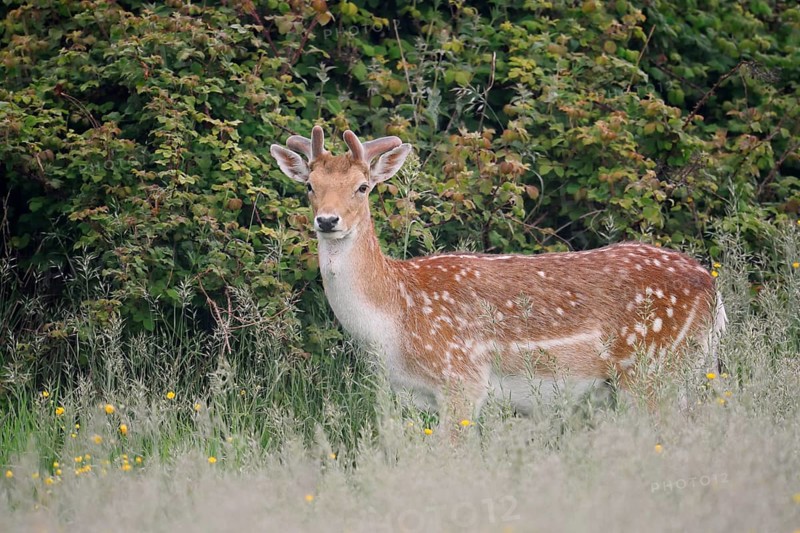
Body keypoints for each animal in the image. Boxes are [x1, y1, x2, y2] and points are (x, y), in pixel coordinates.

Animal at [270, 126, 727, 428]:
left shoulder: (463, 379)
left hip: (653, 368)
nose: (328, 220)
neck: (394, 318)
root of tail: (711, 286)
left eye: (363, 187)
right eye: (309, 185)